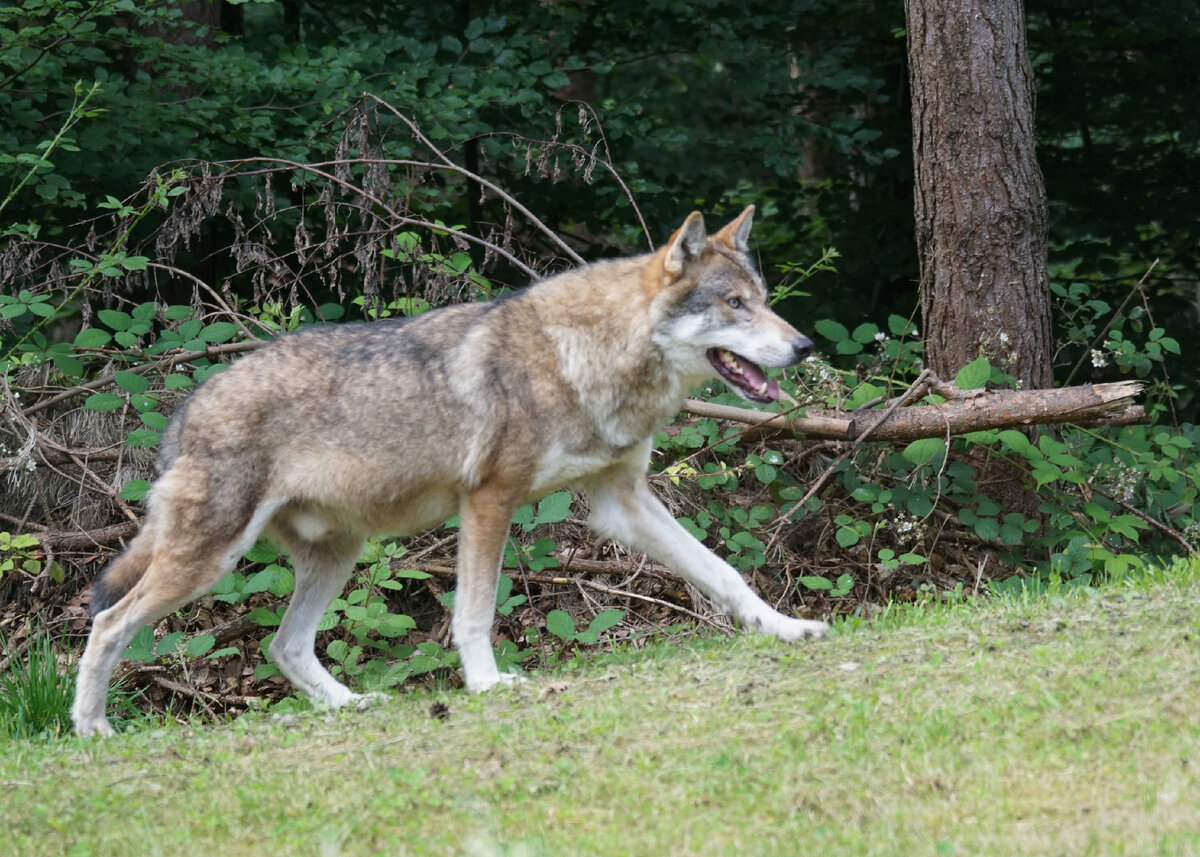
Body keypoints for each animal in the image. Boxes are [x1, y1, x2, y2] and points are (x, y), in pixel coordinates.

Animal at [70, 205, 830, 734]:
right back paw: (93, 728)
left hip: (335, 553)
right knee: (108, 624)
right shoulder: (489, 500)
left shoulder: (622, 503)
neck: (586, 354)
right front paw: (488, 684)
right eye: (735, 305)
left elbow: (724, 572)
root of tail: (187, 407)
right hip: (210, 562)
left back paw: (351, 704)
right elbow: (475, 613)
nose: (804, 345)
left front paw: (785, 628)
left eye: (763, 298)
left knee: (283, 646)